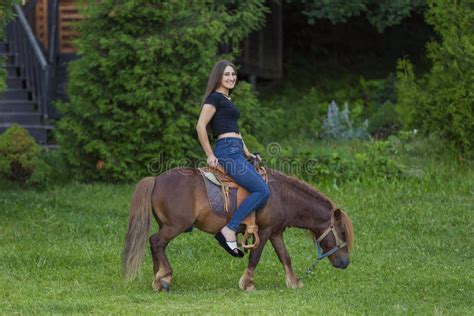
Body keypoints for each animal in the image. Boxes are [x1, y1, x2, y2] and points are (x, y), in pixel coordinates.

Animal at [121, 168, 352, 292]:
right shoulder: (264, 232)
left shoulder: (276, 232)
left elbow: (285, 257)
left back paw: (158, 279)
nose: (345, 263)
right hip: (174, 226)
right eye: (342, 233)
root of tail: (156, 179)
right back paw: (165, 275)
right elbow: (255, 257)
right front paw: (248, 284)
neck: (282, 196)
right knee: (156, 242)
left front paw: (294, 282)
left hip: (166, 226)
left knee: (157, 246)